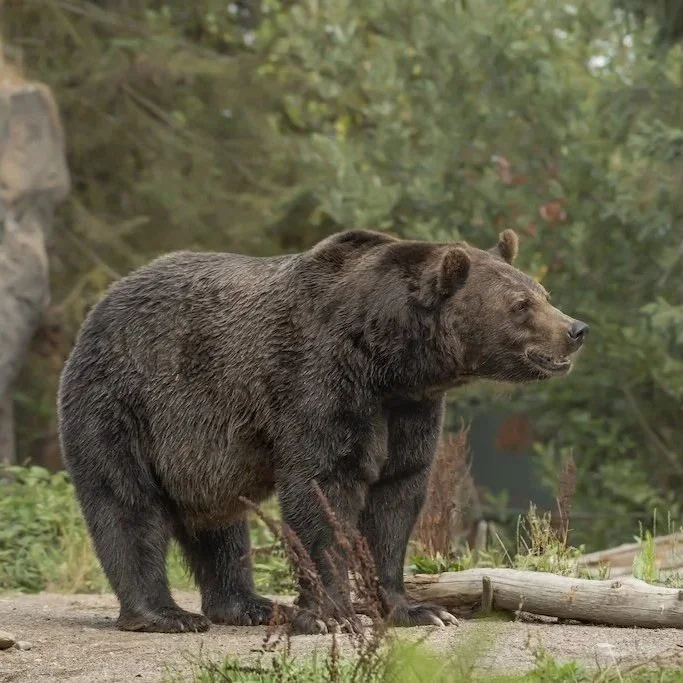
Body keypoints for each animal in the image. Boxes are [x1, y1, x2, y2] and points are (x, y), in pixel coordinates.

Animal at [57, 228, 589, 635]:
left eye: (543, 293)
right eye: (520, 304)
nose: (576, 329)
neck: (388, 359)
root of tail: (99, 307)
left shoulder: (408, 410)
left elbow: (397, 498)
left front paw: (418, 609)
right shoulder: (319, 381)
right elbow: (322, 489)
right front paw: (332, 615)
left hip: (200, 453)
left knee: (221, 525)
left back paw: (250, 605)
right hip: (124, 403)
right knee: (127, 504)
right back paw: (165, 615)